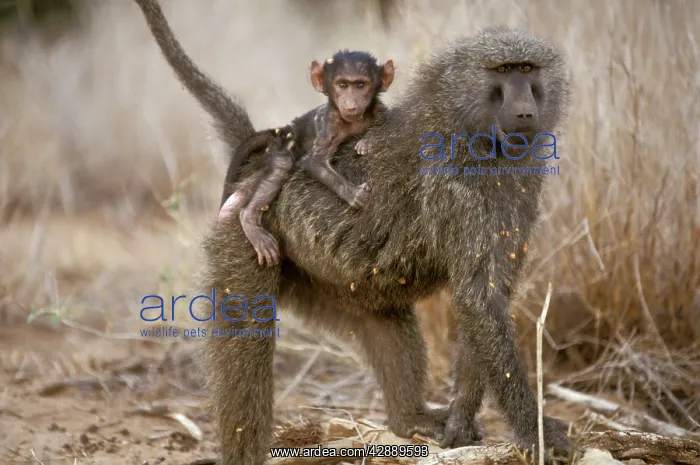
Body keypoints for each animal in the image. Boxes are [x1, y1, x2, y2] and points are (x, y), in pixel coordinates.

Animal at [218, 51, 395, 267]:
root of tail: (287, 129)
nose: (351, 104)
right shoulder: (329, 123)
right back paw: (249, 218)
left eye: (361, 85)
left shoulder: (379, 110)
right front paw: (355, 195)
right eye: (342, 85)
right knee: (282, 165)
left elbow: (389, 121)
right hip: (283, 146)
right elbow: (315, 161)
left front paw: (369, 140)